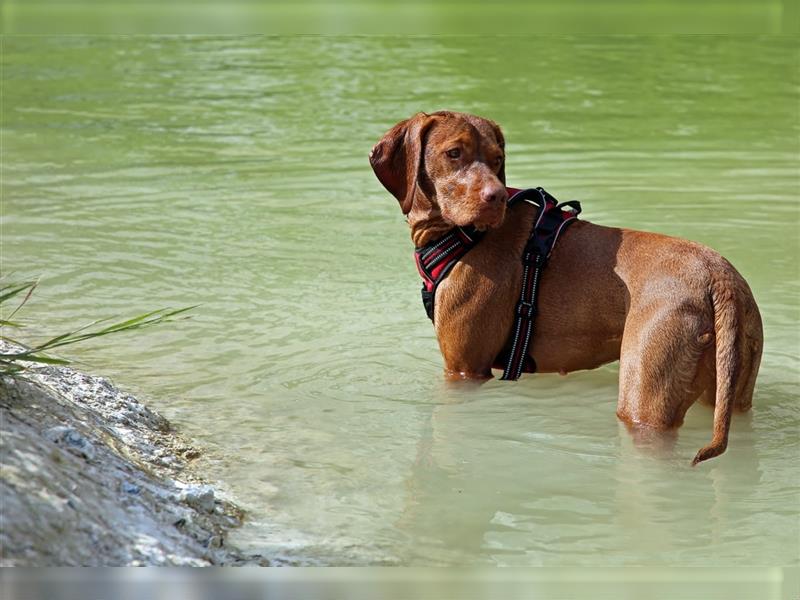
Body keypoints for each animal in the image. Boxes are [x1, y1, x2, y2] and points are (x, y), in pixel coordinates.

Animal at [368, 110, 764, 466]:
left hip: (645, 399)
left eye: (497, 159)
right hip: (730, 394)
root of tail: (719, 278)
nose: (496, 196)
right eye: (454, 153)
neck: (463, 237)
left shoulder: (464, 370)